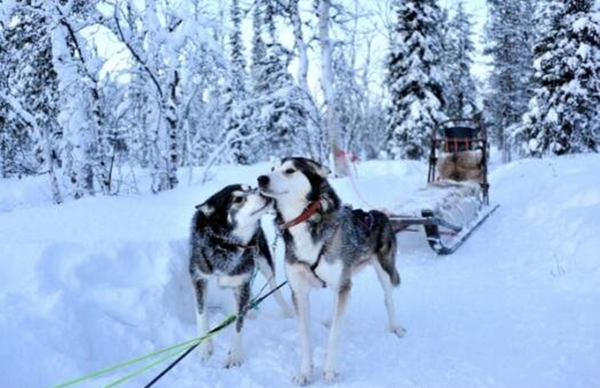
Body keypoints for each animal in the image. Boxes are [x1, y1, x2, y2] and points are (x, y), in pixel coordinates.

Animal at [189, 184, 290, 366]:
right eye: (238, 199)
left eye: (250, 188)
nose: (261, 190)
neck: (225, 243)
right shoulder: (198, 278)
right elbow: (201, 314)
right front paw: (205, 348)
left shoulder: (241, 282)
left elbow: (238, 324)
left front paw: (234, 355)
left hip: (263, 263)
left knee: (274, 288)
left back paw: (286, 311)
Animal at [256, 158, 404, 384]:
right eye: (271, 169)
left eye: (289, 170)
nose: (261, 178)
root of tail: (379, 213)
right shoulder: (299, 292)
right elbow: (305, 337)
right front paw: (305, 372)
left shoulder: (342, 284)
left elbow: (335, 334)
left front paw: (330, 369)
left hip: (384, 271)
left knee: (388, 299)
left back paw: (395, 327)